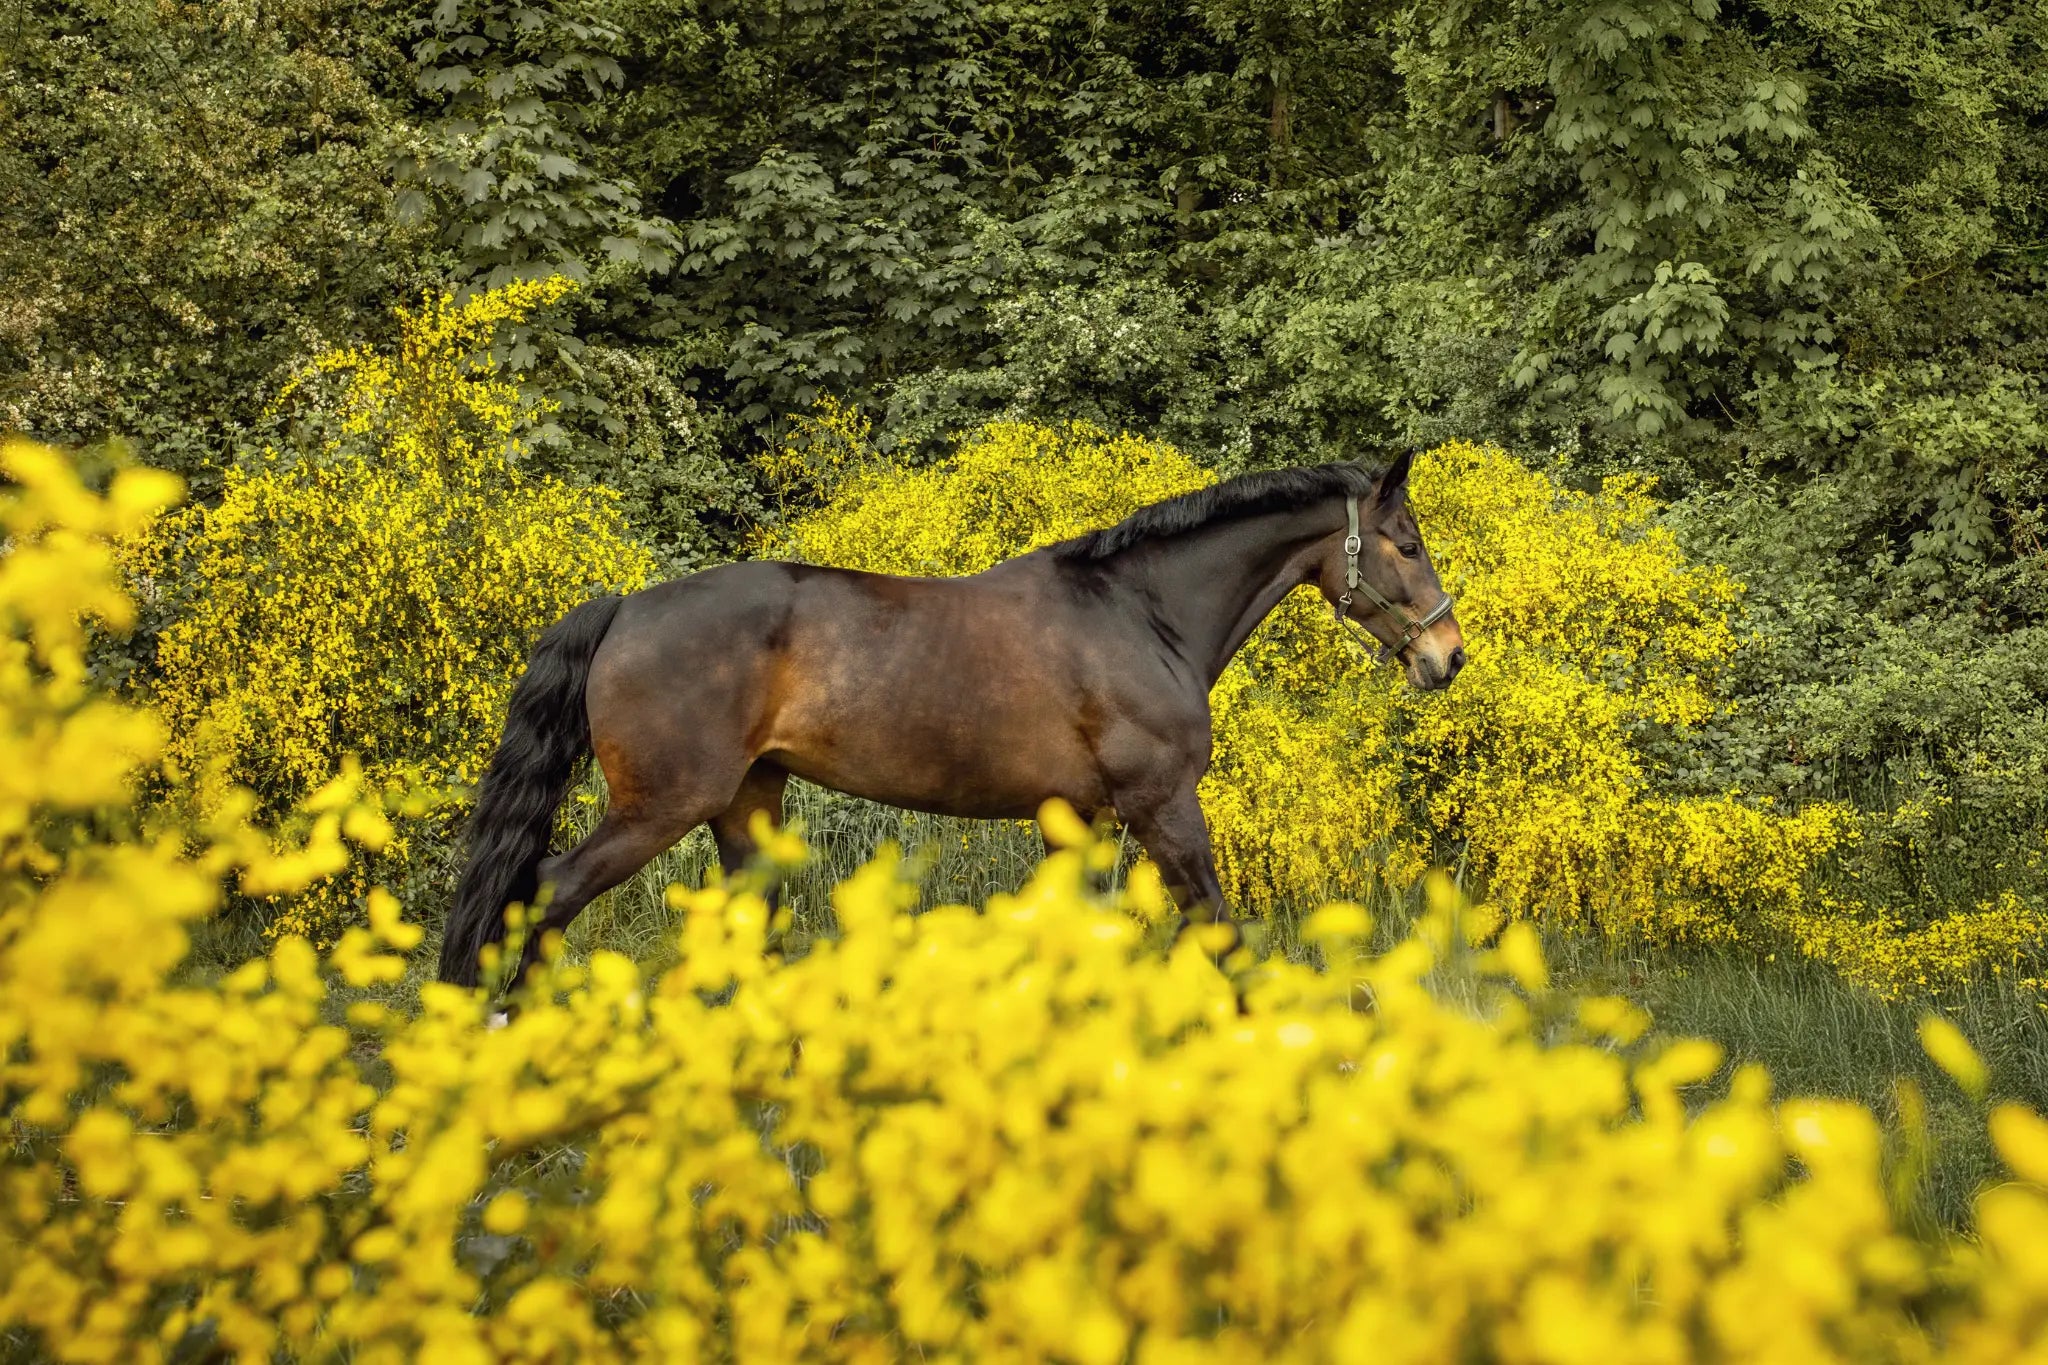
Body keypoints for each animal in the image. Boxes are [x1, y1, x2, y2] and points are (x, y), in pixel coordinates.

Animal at [438, 451, 1465, 988]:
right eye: (1408, 543)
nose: (1446, 656)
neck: (1141, 614)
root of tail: (625, 609)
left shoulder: (1077, 819)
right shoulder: (1163, 808)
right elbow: (1216, 927)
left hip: (747, 806)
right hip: (660, 807)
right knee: (547, 891)